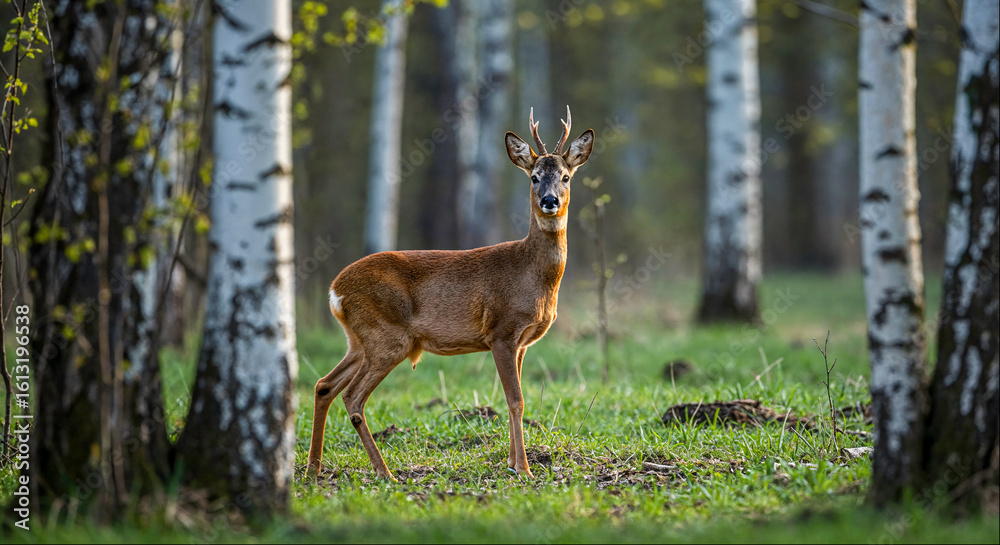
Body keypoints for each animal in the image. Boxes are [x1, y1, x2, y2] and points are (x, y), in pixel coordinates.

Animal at [307, 106, 594, 481]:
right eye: (533, 177)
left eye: (565, 176)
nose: (549, 201)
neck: (533, 274)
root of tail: (335, 290)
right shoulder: (501, 331)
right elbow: (515, 400)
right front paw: (525, 469)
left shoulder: (522, 342)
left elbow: (514, 400)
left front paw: (513, 462)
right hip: (387, 337)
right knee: (353, 396)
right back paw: (384, 472)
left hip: (358, 340)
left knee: (324, 385)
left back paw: (313, 468)